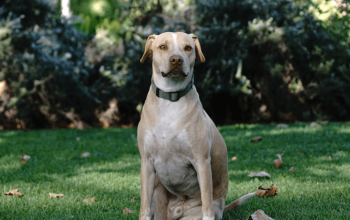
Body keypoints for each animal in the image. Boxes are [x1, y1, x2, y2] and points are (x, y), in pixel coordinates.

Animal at [137, 32, 252, 220]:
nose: (176, 59)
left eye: (188, 47)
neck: (171, 99)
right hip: (158, 192)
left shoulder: (201, 162)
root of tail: (177, 211)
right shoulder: (147, 163)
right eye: (163, 46)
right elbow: (144, 208)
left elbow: (206, 204)